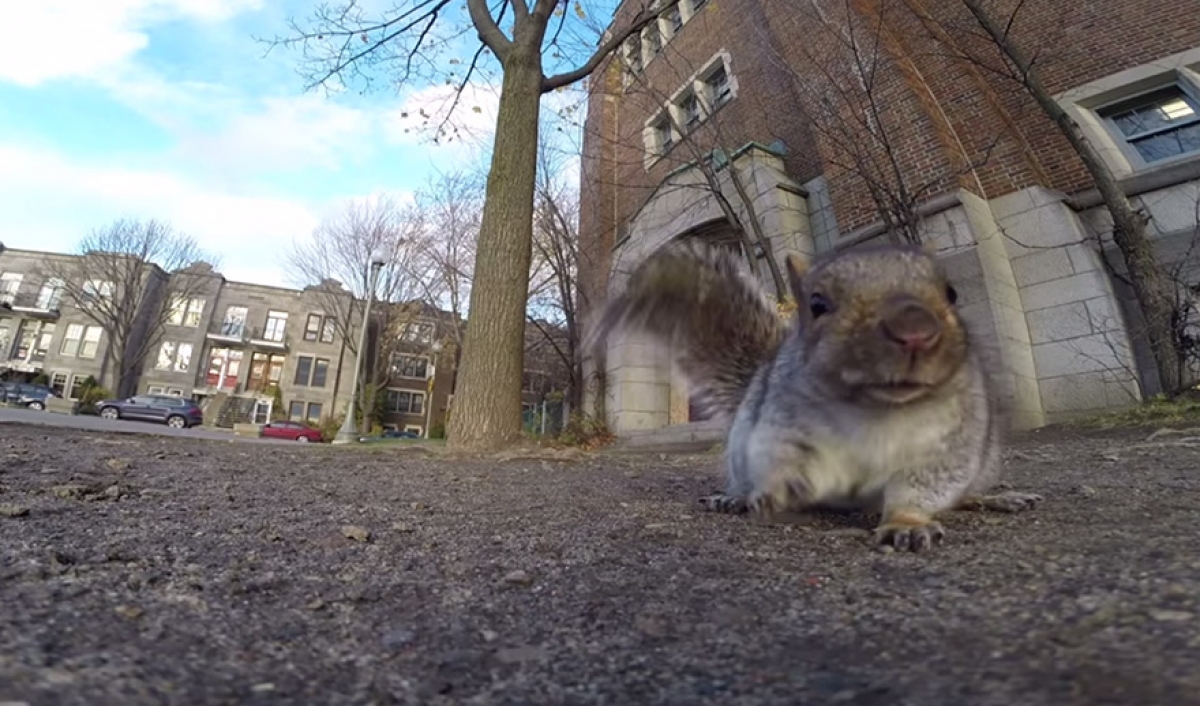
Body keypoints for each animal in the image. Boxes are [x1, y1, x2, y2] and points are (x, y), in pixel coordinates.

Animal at [586, 239, 1042, 553]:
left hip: (984, 461)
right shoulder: (781, 429)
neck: (878, 410)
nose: (915, 330)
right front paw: (776, 493)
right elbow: (788, 462)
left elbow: (924, 486)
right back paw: (734, 497)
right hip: (739, 446)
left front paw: (907, 524)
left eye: (951, 293)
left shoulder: (949, 444)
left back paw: (996, 498)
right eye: (818, 304)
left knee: (963, 494)